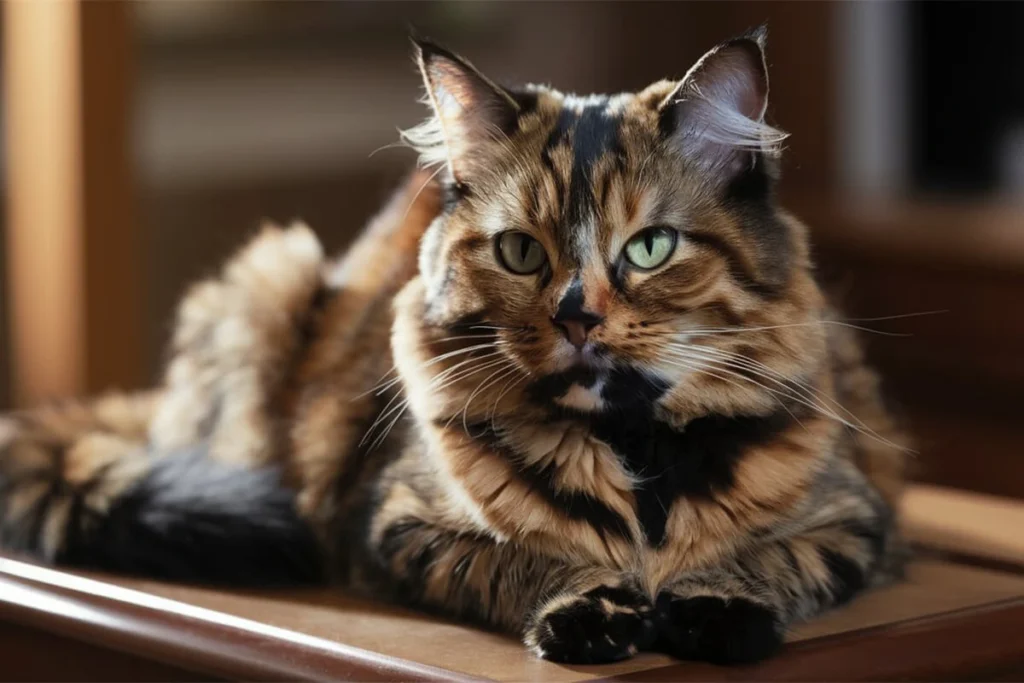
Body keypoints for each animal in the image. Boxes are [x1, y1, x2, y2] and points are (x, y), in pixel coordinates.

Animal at [2, 29, 913, 663]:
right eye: (520, 253)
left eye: (650, 248)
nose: (577, 317)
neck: (631, 451)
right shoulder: (398, 525)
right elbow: (519, 563)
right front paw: (592, 610)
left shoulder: (857, 519)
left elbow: (772, 560)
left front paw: (711, 607)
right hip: (270, 281)